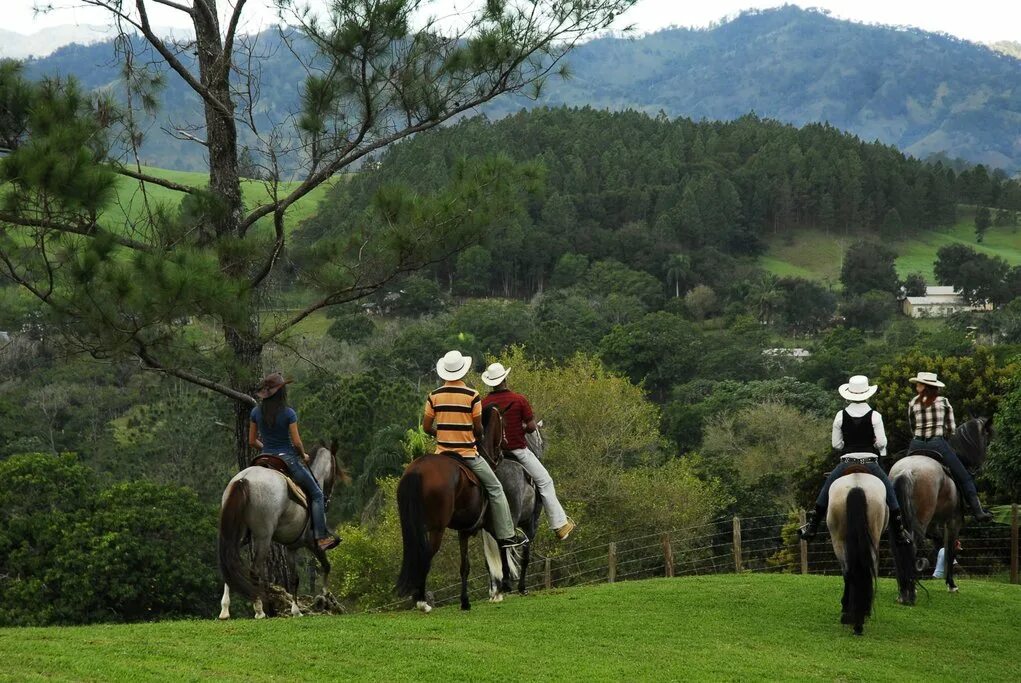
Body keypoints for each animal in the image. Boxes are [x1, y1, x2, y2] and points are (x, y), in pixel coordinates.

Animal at [217, 445, 341, 616]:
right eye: (335, 470)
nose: (327, 499)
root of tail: (244, 479)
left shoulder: (291, 548)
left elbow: (294, 578)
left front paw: (296, 610)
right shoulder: (313, 543)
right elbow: (326, 566)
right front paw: (324, 595)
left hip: (236, 534)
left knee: (229, 561)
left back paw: (225, 610)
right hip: (263, 537)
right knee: (254, 571)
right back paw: (259, 610)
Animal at [390, 404, 518, 612]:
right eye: (503, 424)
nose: (502, 451)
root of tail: (418, 469)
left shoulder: (463, 530)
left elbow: (464, 566)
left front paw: (465, 600)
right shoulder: (489, 522)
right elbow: (501, 543)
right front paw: (504, 583)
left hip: (413, 526)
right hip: (437, 528)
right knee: (425, 556)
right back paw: (422, 601)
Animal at [890, 416, 992, 600]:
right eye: (986, 438)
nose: (981, 462)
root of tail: (905, 471)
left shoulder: (934, 524)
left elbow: (939, 544)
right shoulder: (953, 521)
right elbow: (949, 550)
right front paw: (951, 584)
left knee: (898, 547)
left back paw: (903, 589)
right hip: (921, 521)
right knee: (912, 546)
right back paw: (910, 590)